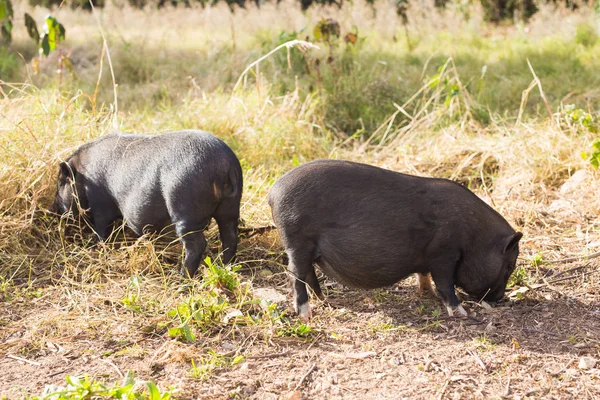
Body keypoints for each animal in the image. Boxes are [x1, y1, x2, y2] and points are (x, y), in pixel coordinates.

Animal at [54, 130, 244, 276]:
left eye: (60, 183)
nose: (53, 209)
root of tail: (224, 165)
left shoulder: (100, 204)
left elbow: (101, 228)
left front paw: (95, 245)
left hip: (185, 207)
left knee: (197, 244)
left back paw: (181, 276)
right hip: (230, 207)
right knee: (230, 236)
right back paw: (226, 266)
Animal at [270, 159, 524, 318]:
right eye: (509, 265)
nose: (500, 298)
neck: (474, 237)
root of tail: (273, 192)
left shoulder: (428, 258)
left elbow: (424, 275)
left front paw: (426, 294)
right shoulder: (444, 253)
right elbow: (445, 284)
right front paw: (462, 313)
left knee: (309, 274)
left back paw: (325, 300)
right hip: (297, 239)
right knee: (295, 274)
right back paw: (305, 315)